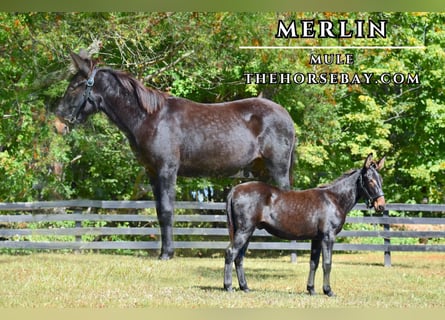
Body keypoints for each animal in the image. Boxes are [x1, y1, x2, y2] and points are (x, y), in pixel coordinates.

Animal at [224, 154, 384, 296]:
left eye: (380, 179)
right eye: (370, 180)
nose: (381, 206)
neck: (334, 199)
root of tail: (235, 190)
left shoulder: (317, 239)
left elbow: (314, 263)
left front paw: (311, 289)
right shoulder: (328, 237)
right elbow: (327, 263)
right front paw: (328, 291)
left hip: (247, 232)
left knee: (239, 257)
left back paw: (245, 287)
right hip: (244, 230)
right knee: (231, 253)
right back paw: (228, 287)